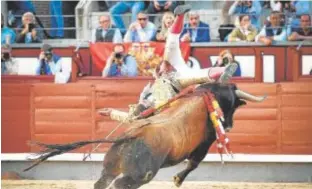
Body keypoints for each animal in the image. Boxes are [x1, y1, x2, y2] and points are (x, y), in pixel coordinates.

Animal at [23, 83, 266, 189]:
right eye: (233, 106)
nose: (230, 125)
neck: (204, 96)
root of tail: (128, 136)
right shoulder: (204, 144)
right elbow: (193, 164)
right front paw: (177, 180)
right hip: (140, 175)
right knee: (120, 185)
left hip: (110, 167)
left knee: (102, 183)